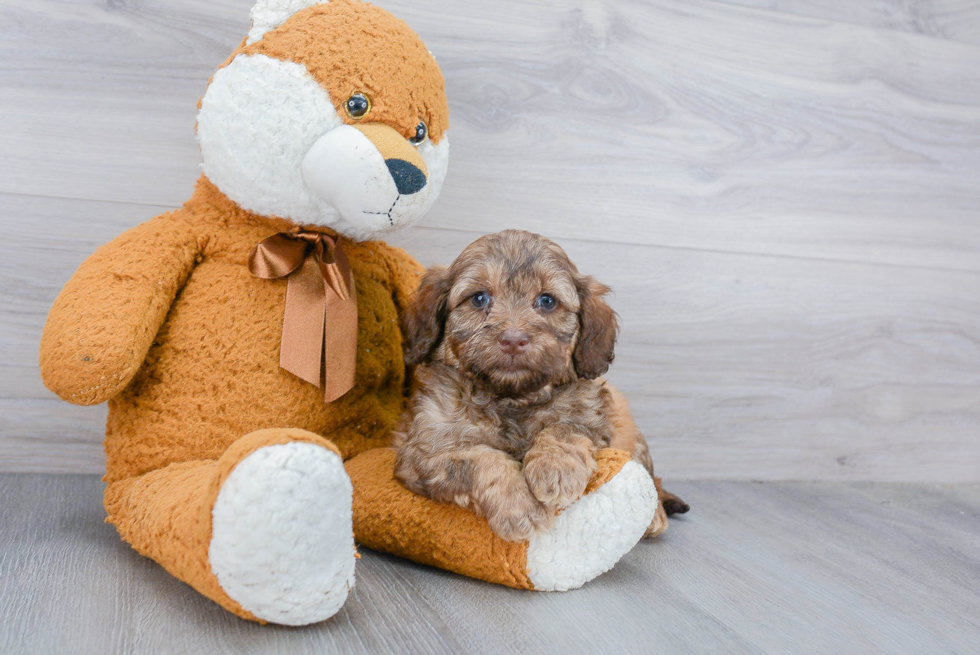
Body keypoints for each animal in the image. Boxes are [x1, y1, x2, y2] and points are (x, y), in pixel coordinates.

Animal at [392, 231, 688, 544]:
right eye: (479, 298)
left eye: (547, 301)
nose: (513, 339)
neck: (512, 397)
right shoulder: (427, 449)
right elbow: (480, 459)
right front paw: (520, 508)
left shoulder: (590, 417)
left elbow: (564, 428)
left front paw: (556, 469)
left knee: (649, 474)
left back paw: (655, 515)